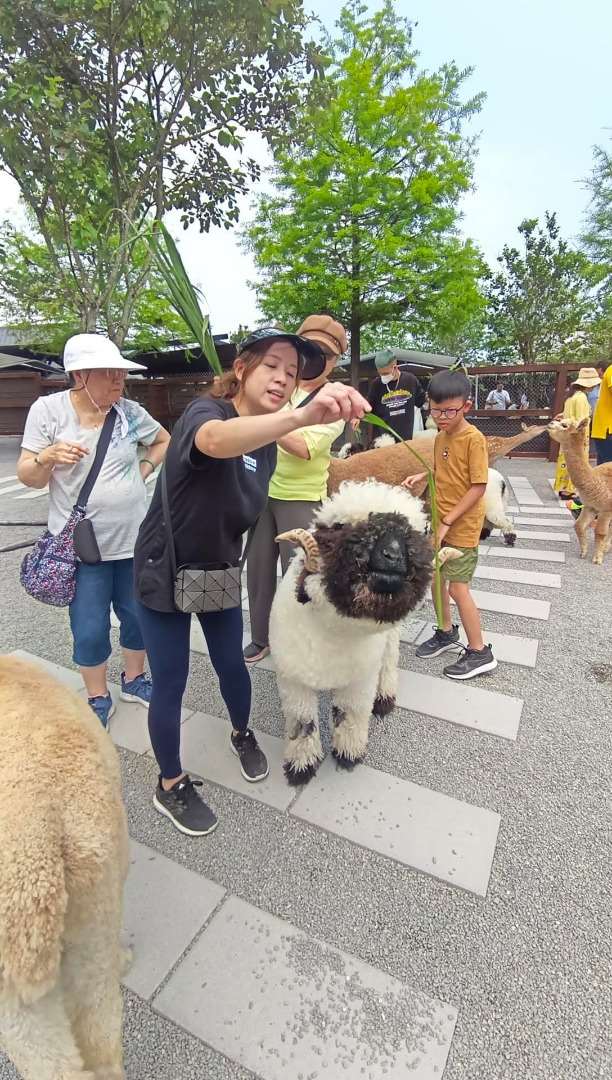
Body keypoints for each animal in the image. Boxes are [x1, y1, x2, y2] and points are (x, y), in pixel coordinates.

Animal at [547, 417, 612, 564]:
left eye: (564, 425)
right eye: (561, 419)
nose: (550, 423)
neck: (595, 482)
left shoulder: (606, 508)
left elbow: (600, 532)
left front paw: (597, 559)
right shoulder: (590, 506)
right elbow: (579, 525)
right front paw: (583, 552)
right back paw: (607, 547)